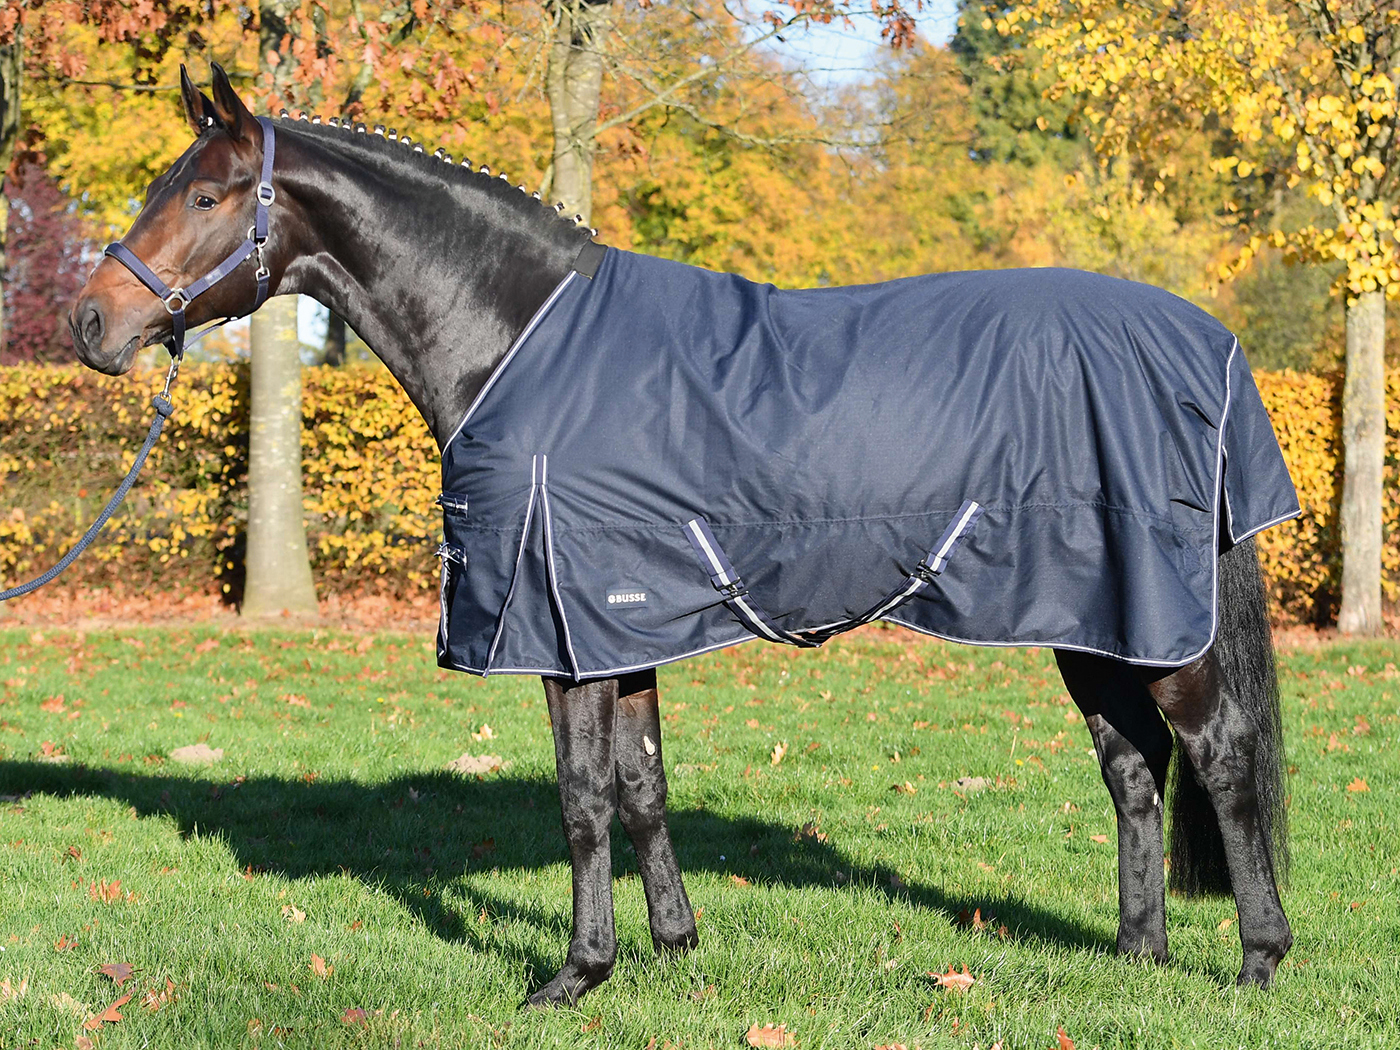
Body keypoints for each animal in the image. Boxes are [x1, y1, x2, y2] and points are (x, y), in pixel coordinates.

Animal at [68, 64, 1294, 1004]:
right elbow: (641, 787)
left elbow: (580, 802)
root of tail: (1206, 343)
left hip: (1158, 626)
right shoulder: (622, 627)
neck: (515, 336)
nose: (91, 321)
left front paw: (573, 974)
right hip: (1095, 621)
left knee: (1221, 756)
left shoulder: (557, 633)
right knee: (1131, 769)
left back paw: (1254, 963)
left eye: (210, 194)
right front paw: (671, 946)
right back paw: (1137, 956)